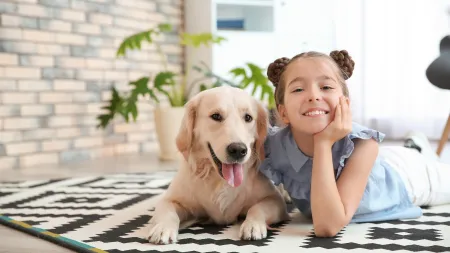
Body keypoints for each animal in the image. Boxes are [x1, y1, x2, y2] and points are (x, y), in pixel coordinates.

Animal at [146, 86, 290, 244]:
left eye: (248, 118)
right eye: (216, 116)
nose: (238, 150)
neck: (219, 180)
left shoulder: (275, 200)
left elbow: (257, 208)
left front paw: (253, 225)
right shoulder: (170, 199)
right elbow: (168, 211)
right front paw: (162, 228)